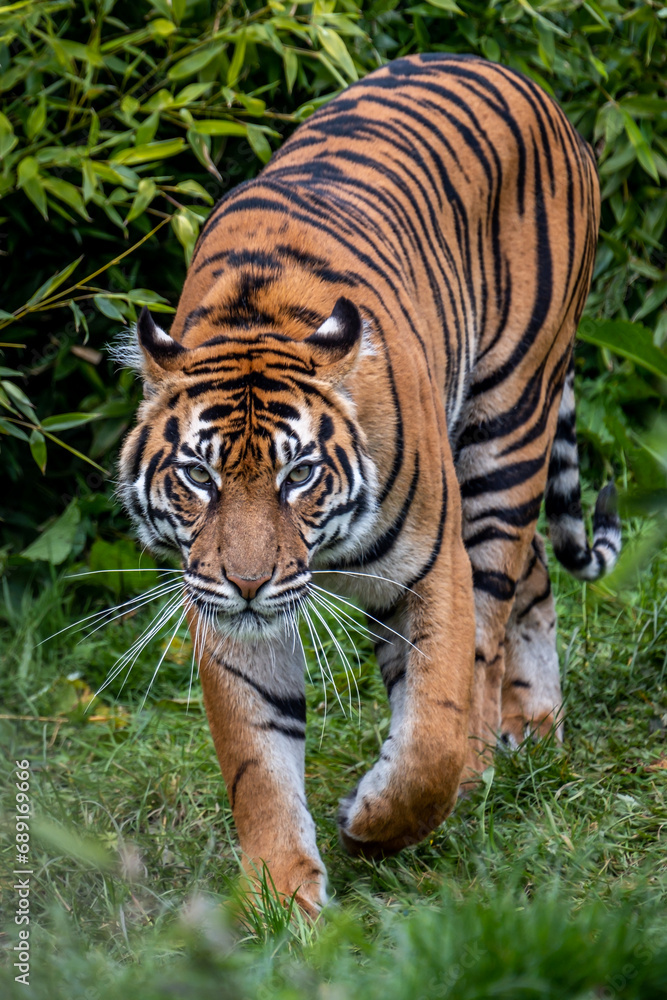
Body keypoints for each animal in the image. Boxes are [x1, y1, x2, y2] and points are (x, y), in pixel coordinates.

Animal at [116, 52, 621, 916]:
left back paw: (487, 758)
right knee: (534, 574)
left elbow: (430, 735)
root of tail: (522, 82)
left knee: (494, 612)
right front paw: (281, 900)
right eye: (198, 476)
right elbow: (258, 761)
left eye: (299, 475)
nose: (247, 582)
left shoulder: (430, 570)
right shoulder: (223, 611)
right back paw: (534, 723)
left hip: (507, 431)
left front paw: (372, 823)